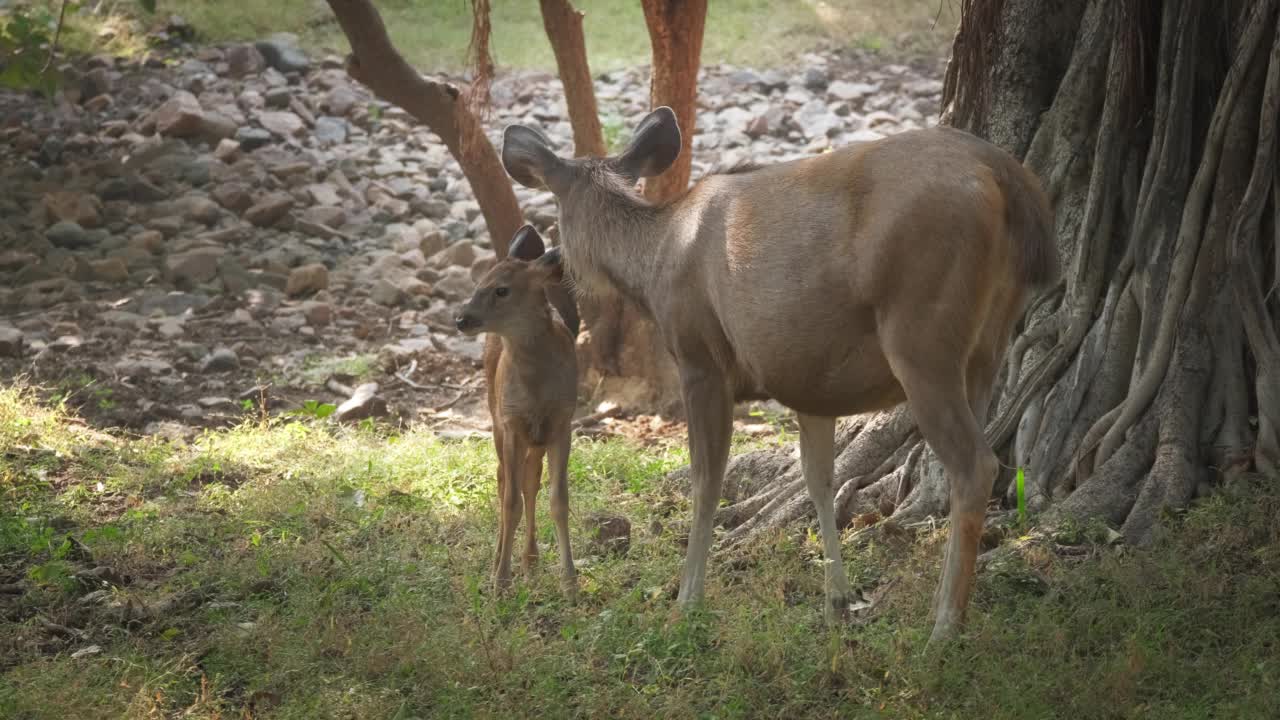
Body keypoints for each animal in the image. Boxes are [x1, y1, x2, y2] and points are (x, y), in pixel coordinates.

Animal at [455, 224, 581, 599]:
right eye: (477, 283)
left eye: (501, 289)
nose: (461, 319)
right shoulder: (511, 422)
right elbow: (509, 501)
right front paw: (500, 581)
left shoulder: (562, 422)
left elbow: (558, 499)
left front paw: (570, 583)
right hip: (496, 419)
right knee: (502, 481)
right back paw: (500, 560)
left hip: (535, 439)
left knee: (529, 481)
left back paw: (530, 561)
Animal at [499, 107, 1059, 638]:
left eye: (554, 210)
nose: (555, 258)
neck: (655, 260)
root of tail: (1012, 182)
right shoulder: (810, 384)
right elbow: (819, 480)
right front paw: (837, 603)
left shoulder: (701, 358)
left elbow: (707, 479)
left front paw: (686, 602)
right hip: (988, 344)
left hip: (921, 331)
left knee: (975, 464)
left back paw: (943, 627)